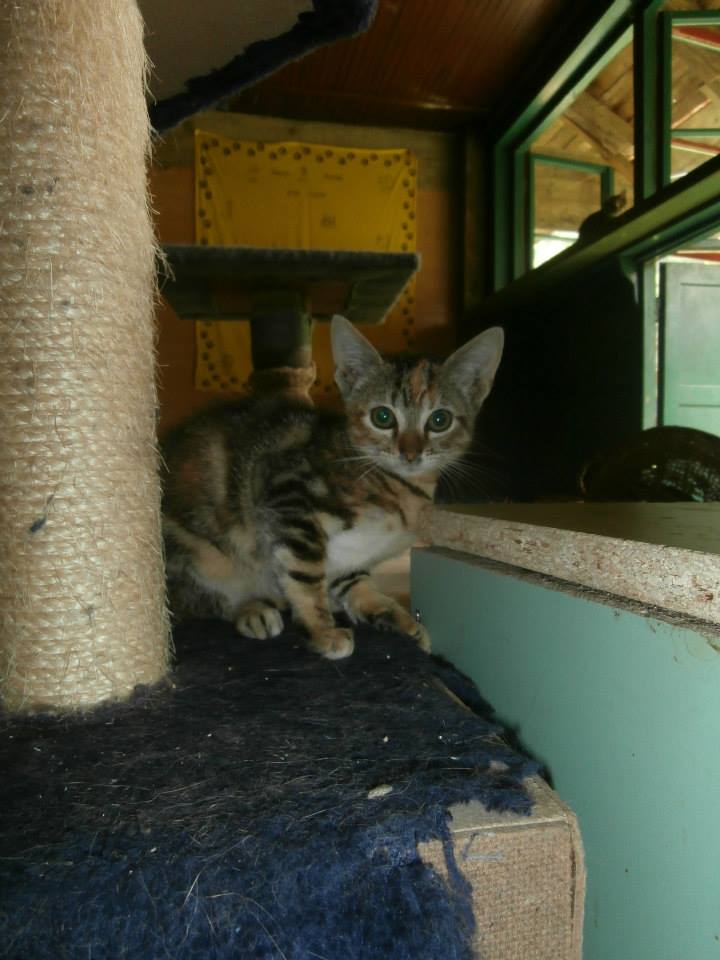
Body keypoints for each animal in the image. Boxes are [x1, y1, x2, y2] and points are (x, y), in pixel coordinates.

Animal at [161, 315, 504, 660]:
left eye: (439, 420)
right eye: (382, 416)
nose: (410, 454)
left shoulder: (349, 554)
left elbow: (354, 578)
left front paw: (391, 614)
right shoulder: (287, 492)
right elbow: (304, 572)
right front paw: (321, 630)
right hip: (202, 555)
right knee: (200, 603)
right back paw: (252, 610)